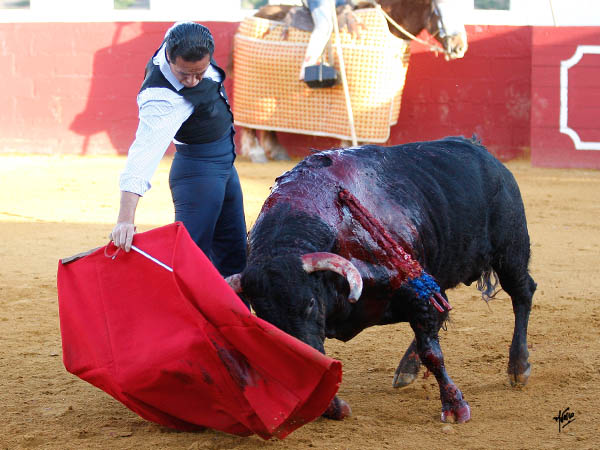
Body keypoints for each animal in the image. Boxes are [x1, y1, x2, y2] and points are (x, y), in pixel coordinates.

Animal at [225, 136, 536, 422]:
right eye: (263, 316)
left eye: (310, 304)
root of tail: (482, 151)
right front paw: (331, 406)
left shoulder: (415, 292)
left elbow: (432, 352)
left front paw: (455, 407)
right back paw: (408, 370)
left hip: (510, 251)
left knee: (522, 293)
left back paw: (518, 367)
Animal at [234, 0, 468, 162]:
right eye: (443, 9)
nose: (460, 47)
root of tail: (252, 17)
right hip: (253, 91)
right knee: (248, 124)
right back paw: (256, 153)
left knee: (266, 123)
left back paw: (277, 151)